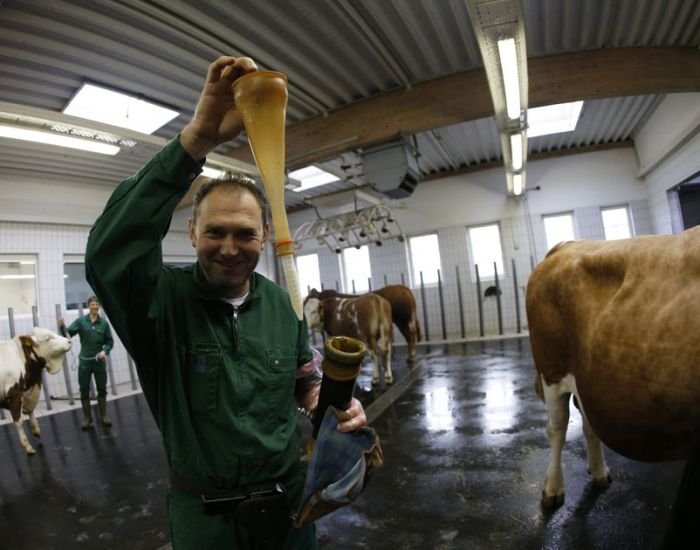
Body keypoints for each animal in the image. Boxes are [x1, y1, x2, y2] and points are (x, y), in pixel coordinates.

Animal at [525, 226, 700, 508]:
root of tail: (566, 245)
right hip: (551, 369)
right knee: (557, 427)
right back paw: (553, 488)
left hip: (588, 380)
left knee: (588, 421)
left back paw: (598, 472)